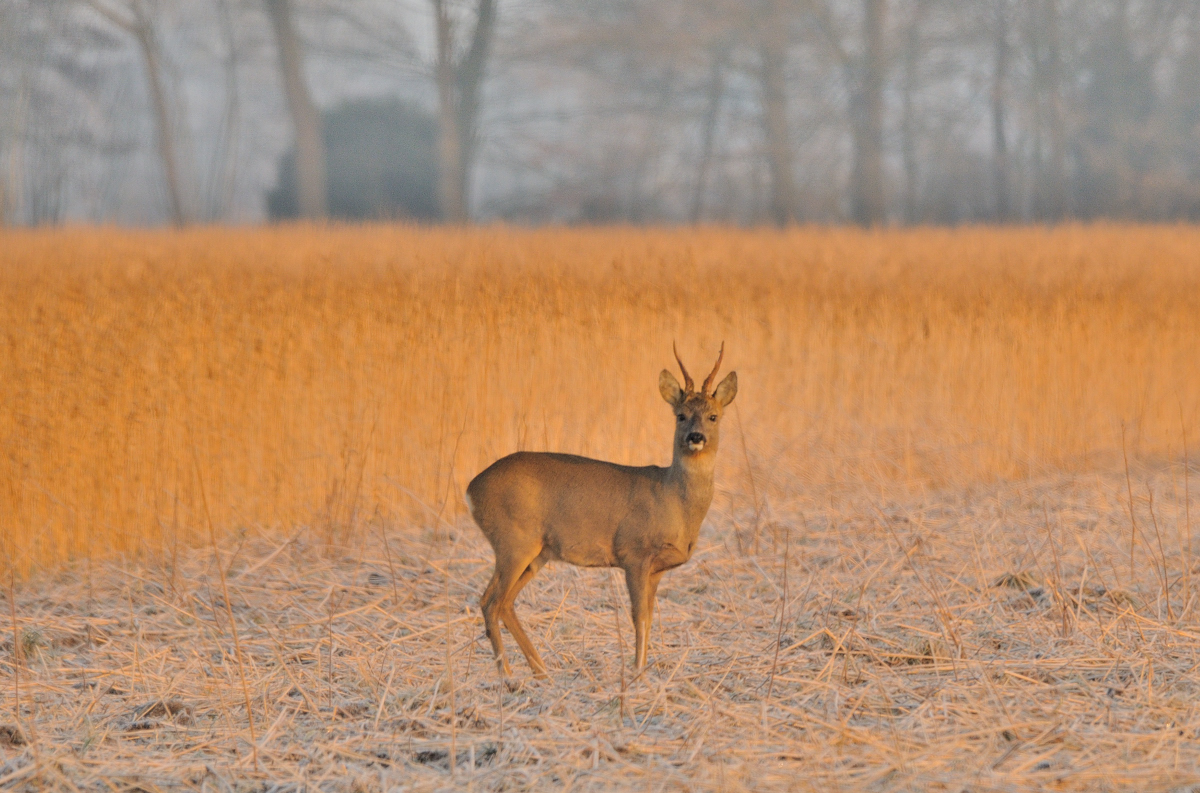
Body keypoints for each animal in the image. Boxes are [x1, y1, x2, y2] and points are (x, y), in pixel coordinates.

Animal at [463, 340, 734, 676]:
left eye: (713, 416)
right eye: (681, 415)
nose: (696, 438)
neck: (675, 502)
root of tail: (471, 489)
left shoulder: (657, 569)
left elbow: (650, 617)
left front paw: (643, 670)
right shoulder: (634, 552)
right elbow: (638, 617)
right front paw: (637, 672)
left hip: (537, 553)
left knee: (504, 603)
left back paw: (541, 671)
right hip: (513, 541)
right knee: (490, 601)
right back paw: (509, 677)